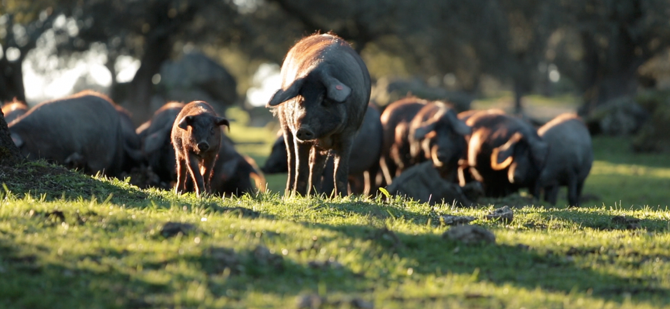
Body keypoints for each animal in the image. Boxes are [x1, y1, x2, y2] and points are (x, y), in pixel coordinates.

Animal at [268, 33, 372, 195]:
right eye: (300, 98)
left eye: (324, 99)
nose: (304, 129)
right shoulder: (298, 136)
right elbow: (301, 169)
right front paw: (297, 196)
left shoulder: (349, 134)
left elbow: (340, 170)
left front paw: (343, 197)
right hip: (285, 126)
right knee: (292, 161)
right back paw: (290, 194)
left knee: (316, 164)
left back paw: (314, 195)